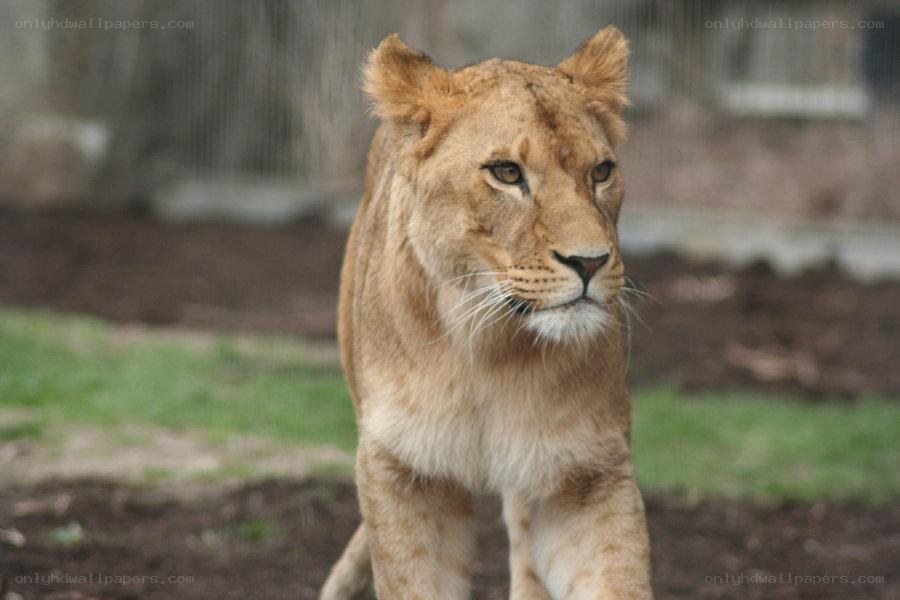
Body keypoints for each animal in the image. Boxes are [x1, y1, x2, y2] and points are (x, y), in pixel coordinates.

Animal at [320, 26, 652, 599]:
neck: (489, 349)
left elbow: (618, 578)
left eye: (602, 172)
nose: (590, 261)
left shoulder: (585, 472)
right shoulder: (404, 471)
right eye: (506, 173)